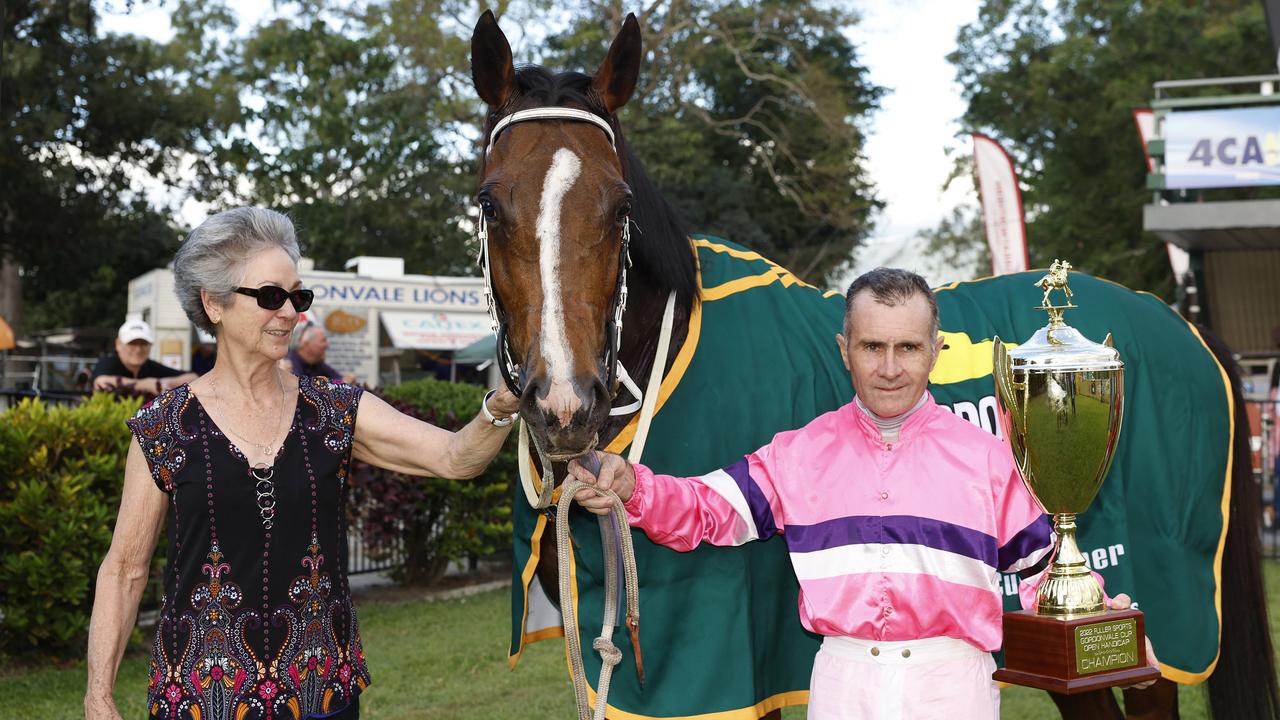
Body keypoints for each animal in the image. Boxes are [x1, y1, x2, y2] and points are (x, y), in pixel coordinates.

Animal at [473, 9, 1280, 717]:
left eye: (620, 208)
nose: (565, 404)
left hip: (1151, 640)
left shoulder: (724, 670)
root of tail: (1179, 321)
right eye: (488, 203)